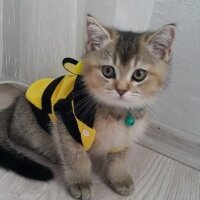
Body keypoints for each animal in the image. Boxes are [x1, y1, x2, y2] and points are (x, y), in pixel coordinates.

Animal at [0, 14, 175, 199]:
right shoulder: (68, 125)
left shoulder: (123, 137)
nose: (121, 89)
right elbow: (77, 157)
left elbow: (120, 159)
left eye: (139, 74)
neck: (113, 112)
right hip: (31, 124)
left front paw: (119, 178)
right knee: (23, 136)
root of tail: (16, 101)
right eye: (108, 71)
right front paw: (80, 182)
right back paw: (52, 151)